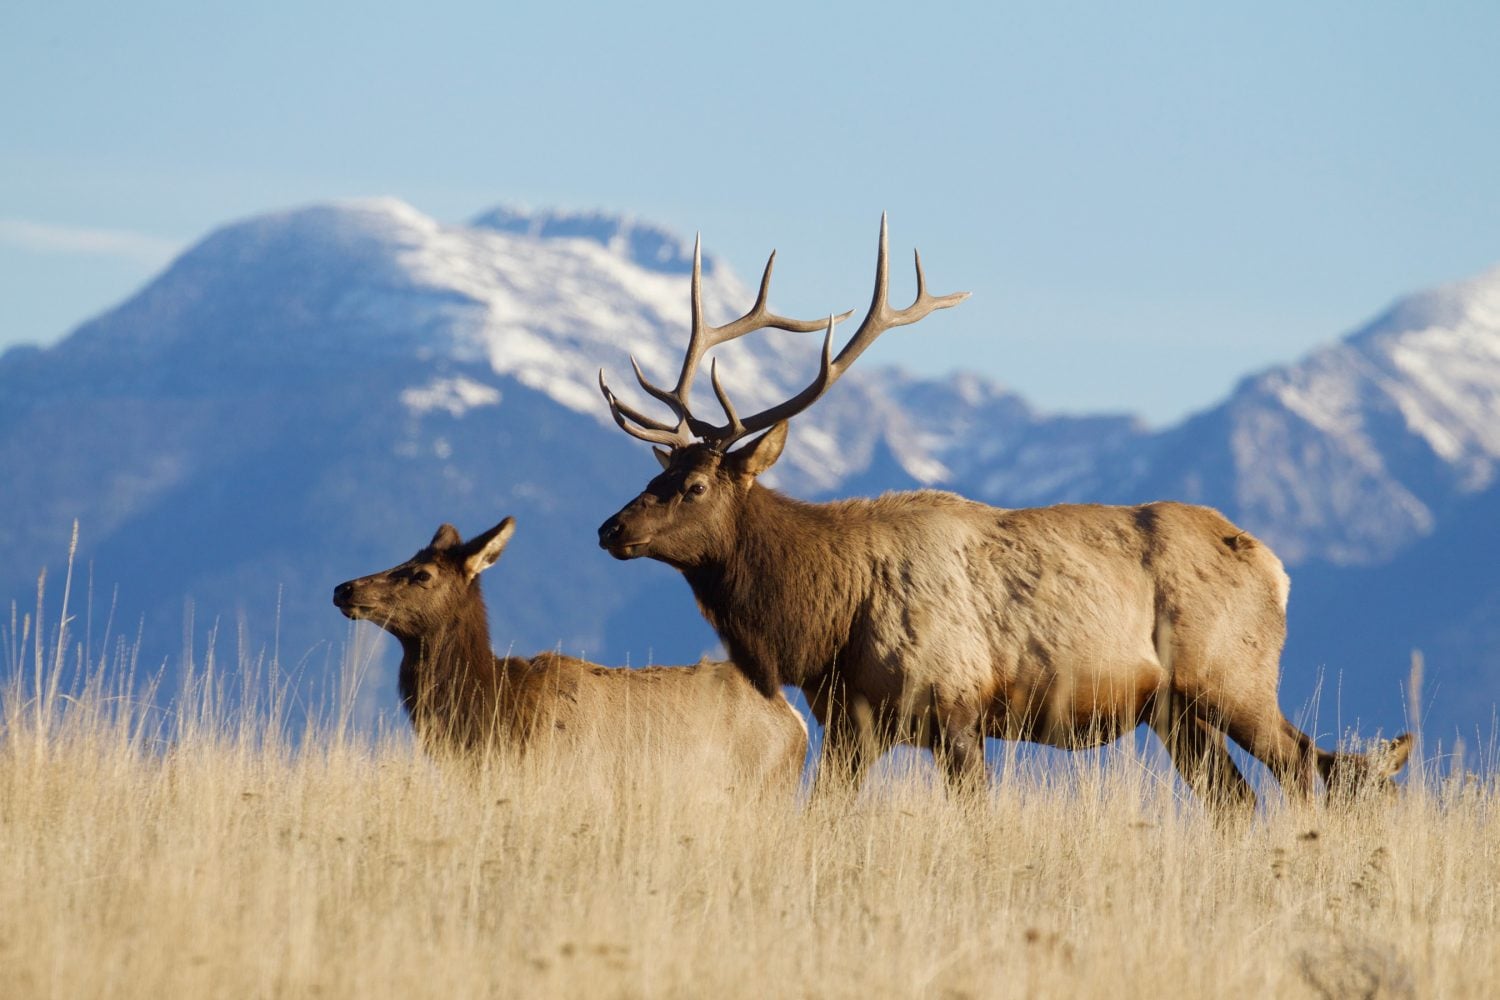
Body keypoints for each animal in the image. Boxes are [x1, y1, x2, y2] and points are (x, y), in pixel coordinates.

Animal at [595, 216, 1412, 810]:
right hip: (1174, 711)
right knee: (1240, 800)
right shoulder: (852, 725)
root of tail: (1277, 568)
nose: (610, 529)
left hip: (1232, 675)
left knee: (1304, 765)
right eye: (658, 472)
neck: (826, 621)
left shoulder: (956, 710)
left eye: (696, 487)